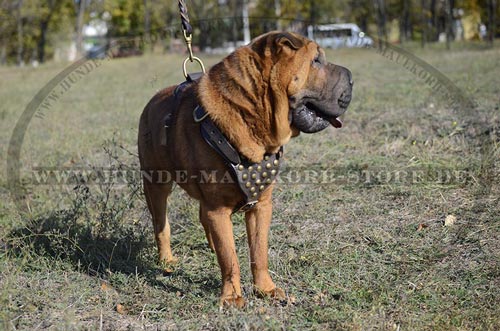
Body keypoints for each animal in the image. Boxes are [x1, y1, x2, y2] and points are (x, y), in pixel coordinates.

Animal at [139, 31, 354, 308]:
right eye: (316, 61)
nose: (352, 77)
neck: (253, 114)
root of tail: (152, 100)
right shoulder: (218, 207)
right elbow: (230, 257)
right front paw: (232, 296)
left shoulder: (261, 206)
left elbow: (258, 252)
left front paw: (266, 289)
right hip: (156, 185)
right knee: (161, 224)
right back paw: (167, 259)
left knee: (202, 218)